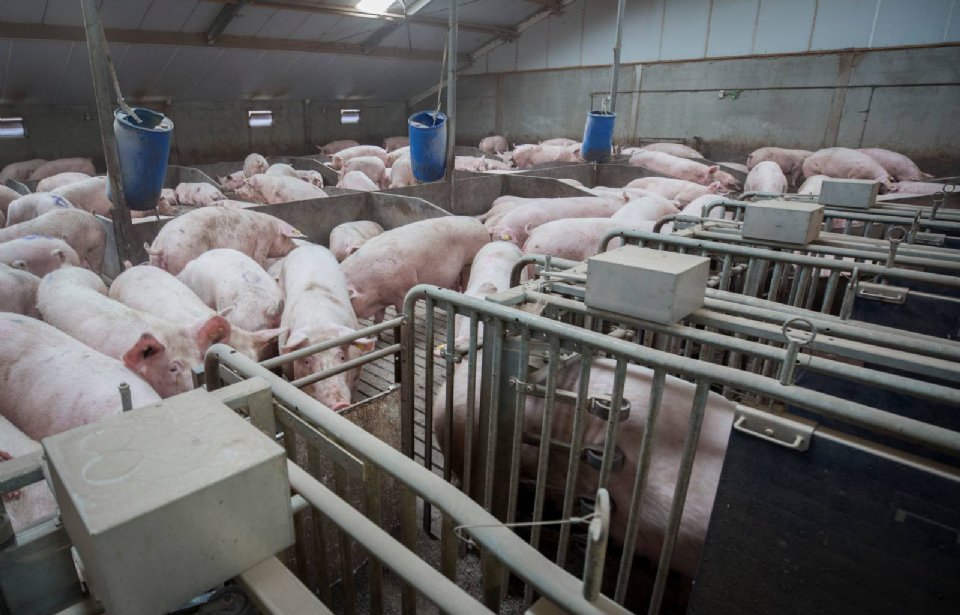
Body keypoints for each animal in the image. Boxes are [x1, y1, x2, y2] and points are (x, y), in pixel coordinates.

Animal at [146, 207, 305, 274]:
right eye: (287, 238)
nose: (296, 246)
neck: (273, 229)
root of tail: (160, 245)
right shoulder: (263, 241)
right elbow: (259, 259)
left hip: (156, 263)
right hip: (182, 257)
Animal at [341, 217, 490, 321]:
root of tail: (480, 225)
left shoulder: (402, 292)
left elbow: (400, 312)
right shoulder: (379, 300)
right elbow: (378, 319)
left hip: (469, 263)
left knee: (465, 285)